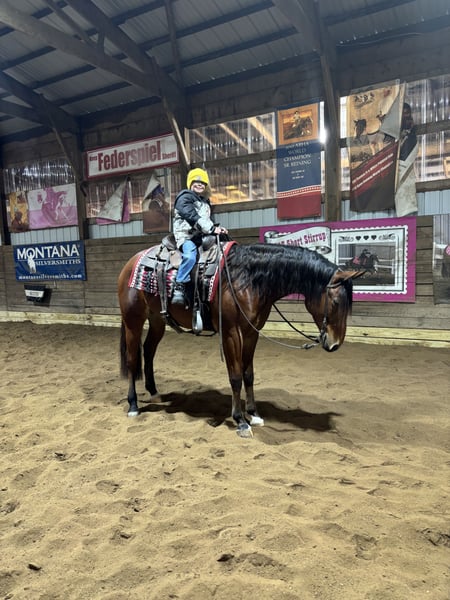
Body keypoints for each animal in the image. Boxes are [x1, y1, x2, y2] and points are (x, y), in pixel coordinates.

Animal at [118, 242, 363, 437]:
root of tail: (132, 262)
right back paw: (133, 405)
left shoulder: (251, 332)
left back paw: (154, 392)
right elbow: (235, 376)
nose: (335, 344)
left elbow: (248, 374)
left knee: (148, 351)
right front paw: (240, 420)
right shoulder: (231, 333)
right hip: (133, 320)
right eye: (335, 303)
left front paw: (253, 414)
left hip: (157, 320)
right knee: (132, 359)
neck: (246, 280)